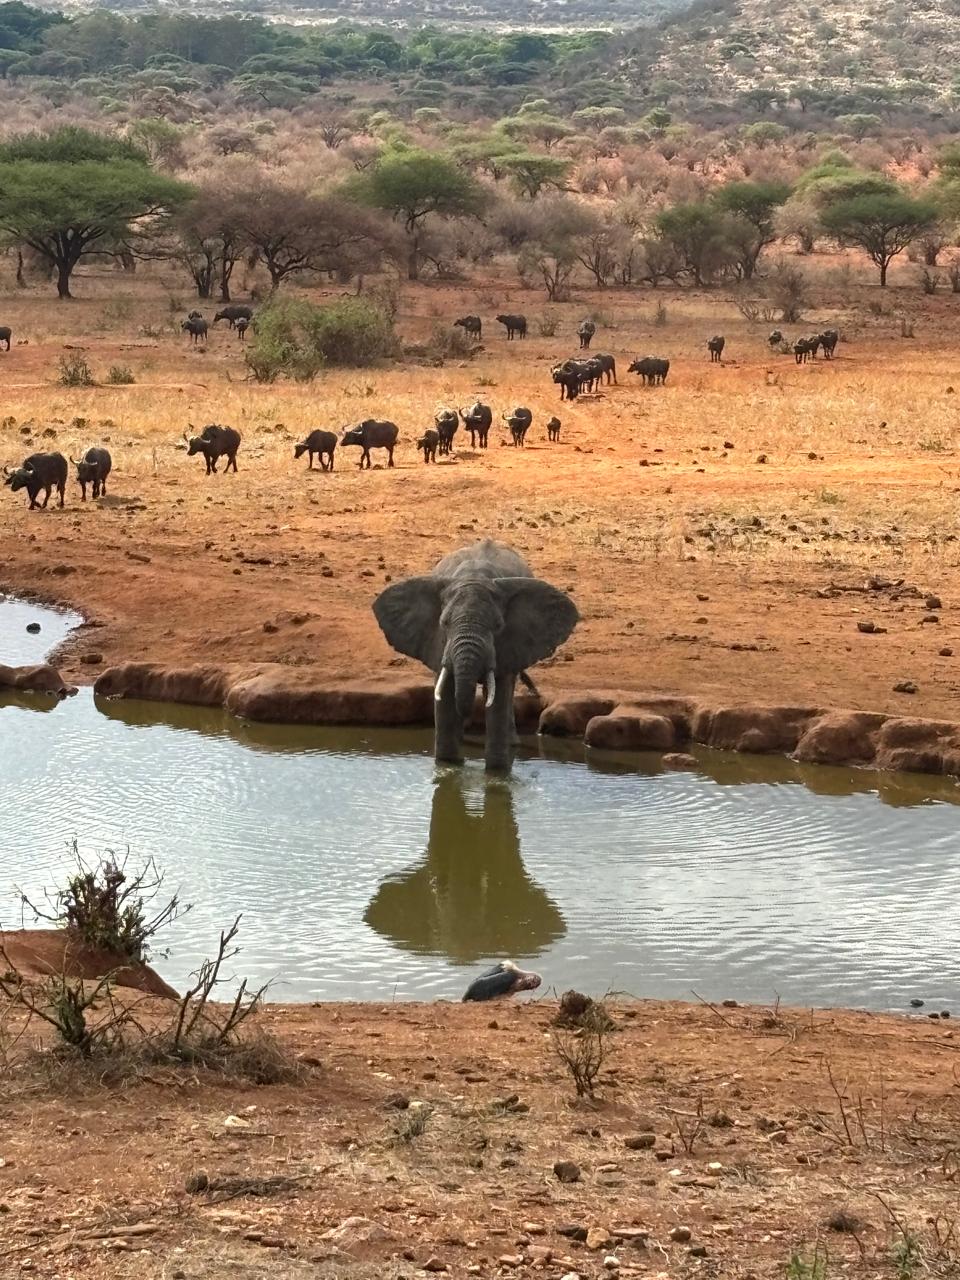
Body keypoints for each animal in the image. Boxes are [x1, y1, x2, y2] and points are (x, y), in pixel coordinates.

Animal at [372, 539, 579, 772]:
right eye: (444, 623)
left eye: (498, 626)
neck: (474, 576)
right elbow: (445, 694)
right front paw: (448, 767)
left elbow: (499, 697)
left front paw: (497, 774)